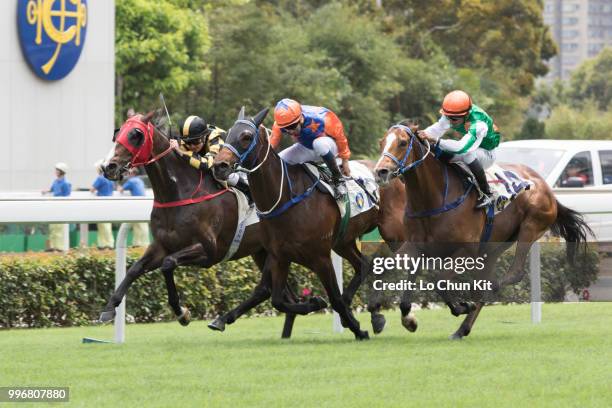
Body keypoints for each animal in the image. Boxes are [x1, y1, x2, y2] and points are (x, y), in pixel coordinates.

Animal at [101, 110, 300, 336]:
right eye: (118, 133)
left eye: (136, 135)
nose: (108, 167)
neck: (179, 192)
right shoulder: (161, 245)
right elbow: (135, 269)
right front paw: (109, 308)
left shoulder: (207, 251)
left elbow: (168, 263)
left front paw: (182, 313)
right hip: (262, 251)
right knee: (281, 294)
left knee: (271, 291)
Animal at [213, 107, 380, 340]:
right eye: (228, 134)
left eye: (246, 137)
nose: (219, 166)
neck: (287, 199)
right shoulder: (279, 256)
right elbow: (277, 300)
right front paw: (316, 302)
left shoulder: (321, 257)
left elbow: (335, 299)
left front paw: (357, 328)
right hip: (343, 242)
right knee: (363, 264)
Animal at [370, 122, 592, 340]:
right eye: (381, 143)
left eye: (402, 142)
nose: (380, 171)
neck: (434, 198)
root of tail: (546, 187)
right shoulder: (415, 246)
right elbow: (387, 271)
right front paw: (403, 318)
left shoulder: (466, 251)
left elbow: (440, 281)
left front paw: (461, 306)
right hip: (494, 247)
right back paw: (462, 329)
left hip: (530, 228)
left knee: (513, 273)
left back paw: (481, 299)